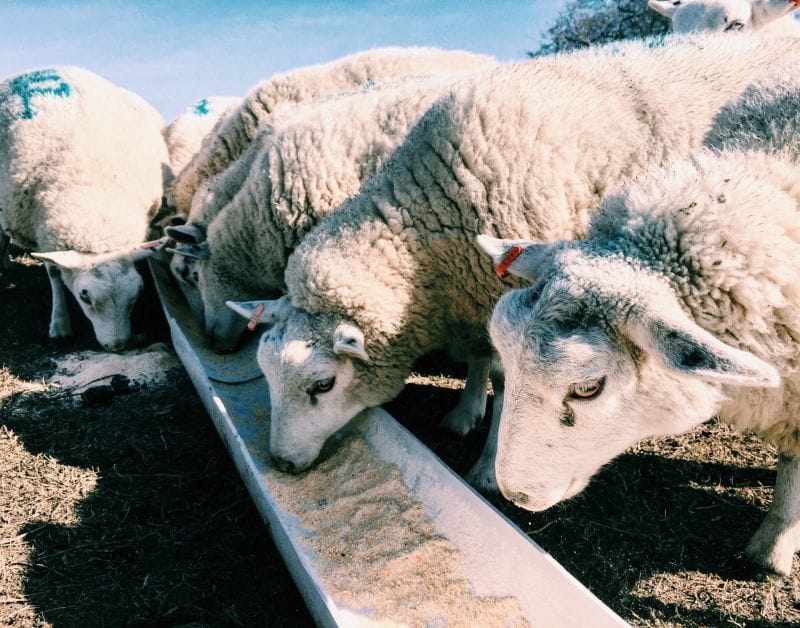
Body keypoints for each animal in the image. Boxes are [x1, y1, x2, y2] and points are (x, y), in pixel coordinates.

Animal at [0, 66, 169, 350]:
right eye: (85, 296)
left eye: (138, 292)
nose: (117, 346)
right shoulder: (42, 233)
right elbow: (55, 276)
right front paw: (60, 324)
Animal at [225, 33, 800, 489]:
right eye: (265, 374)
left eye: (322, 385)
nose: (281, 464)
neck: (424, 229)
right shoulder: (470, 296)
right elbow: (480, 360)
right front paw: (464, 412)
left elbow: (506, 382)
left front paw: (484, 466)